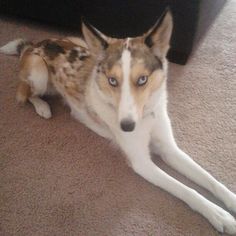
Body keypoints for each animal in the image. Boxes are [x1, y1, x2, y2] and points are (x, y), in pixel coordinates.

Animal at [0, 9, 236, 234]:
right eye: (112, 80)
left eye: (143, 79)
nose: (127, 127)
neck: (146, 115)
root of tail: (36, 43)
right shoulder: (142, 163)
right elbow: (188, 190)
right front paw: (218, 214)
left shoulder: (169, 149)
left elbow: (210, 180)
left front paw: (230, 200)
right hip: (38, 73)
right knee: (24, 93)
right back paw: (42, 107)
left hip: (80, 41)